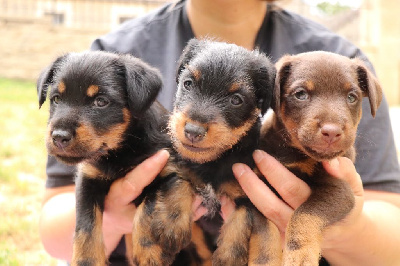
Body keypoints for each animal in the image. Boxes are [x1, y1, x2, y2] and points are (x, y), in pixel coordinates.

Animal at [36, 51, 209, 264]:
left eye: (101, 101)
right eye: (56, 99)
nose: (59, 137)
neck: (120, 151)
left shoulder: (165, 168)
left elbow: (149, 207)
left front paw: (149, 251)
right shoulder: (87, 180)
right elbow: (86, 225)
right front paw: (87, 260)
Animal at [167, 38, 280, 264]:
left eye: (236, 100)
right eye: (188, 83)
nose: (193, 131)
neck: (213, 162)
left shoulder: (246, 195)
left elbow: (238, 225)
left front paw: (227, 257)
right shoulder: (184, 171)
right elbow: (180, 186)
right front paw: (174, 228)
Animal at [260, 51, 382, 264]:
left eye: (352, 97)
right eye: (300, 94)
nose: (332, 132)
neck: (296, 153)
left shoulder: (339, 189)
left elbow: (303, 215)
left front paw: (300, 256)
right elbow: (265, 232)